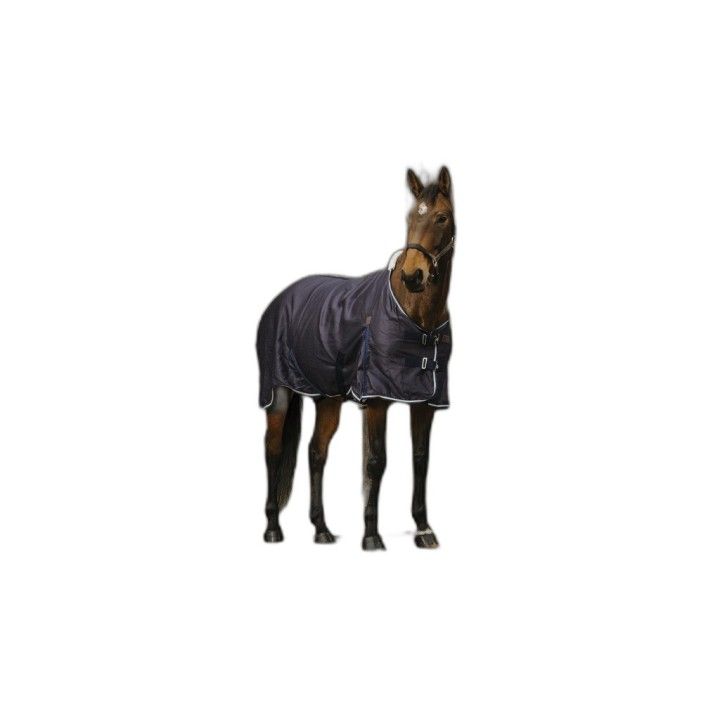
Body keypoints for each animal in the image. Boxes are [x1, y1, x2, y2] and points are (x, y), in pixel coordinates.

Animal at [256, 167, 455, 550]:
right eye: (411, 218)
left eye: (441, 217)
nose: (413, 275)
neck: (417, 317)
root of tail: (280, 300)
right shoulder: (377, 399)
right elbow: (376, 461)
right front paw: (372, 536)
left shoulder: (426, 401)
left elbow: (420, 459)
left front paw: (424, 530)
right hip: (278, 392)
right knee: (273, 450)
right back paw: (273, 528)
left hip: (328, 399)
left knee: (316, 453)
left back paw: (322, 530)